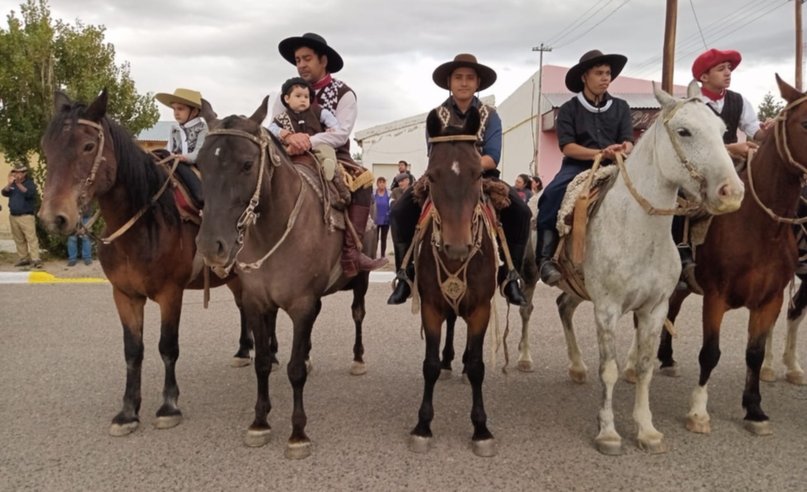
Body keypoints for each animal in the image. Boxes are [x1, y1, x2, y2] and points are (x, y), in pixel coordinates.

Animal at [37, 90, 252, 436]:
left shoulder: (170, 293)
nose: (53, 218)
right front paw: (128, 411)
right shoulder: (125, 295)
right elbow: (133, 351)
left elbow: (167, 346)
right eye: (47, 146)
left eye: (88, 146)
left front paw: (168, 406)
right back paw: (245, 350)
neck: (142, 223)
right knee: (244, 307)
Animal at [196, 97, 372, 462]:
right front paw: (259, 422)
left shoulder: (303, 305)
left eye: (247, 164)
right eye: (200, 163)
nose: (210, 246)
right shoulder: (257, 304)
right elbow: (263, 362)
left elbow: (295, 371)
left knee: (358, 314)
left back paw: (358, 359)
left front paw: (298, 432)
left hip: (360, 280)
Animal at [410, 107, 498, 458]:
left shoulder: (481, 310)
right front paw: (423, 426)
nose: (457, 247)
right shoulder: (431, 307)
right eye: (433, 176)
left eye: (477, 174)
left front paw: (481, 429)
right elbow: (429, 364)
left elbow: (477, 366)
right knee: (450, 323)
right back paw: (450, 362)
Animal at [556, 80, 744, 454]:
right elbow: (609, 369)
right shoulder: (607, 309)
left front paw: (646, 430)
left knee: (564, 306)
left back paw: (577, 367)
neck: (638, 230)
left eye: (722, 131)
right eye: (684, 131)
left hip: (577, 288)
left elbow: (644, 368)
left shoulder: (655, 309)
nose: (732, 193)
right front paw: (608, 432)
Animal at [656, 75, 807, 436]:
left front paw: (754, 409)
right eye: (806, 123)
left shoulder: (770, 300)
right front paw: (698, 412)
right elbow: (710, 353)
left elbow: (754, 353)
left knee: (673, 310)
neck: (761, 229)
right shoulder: (716, 297)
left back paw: (666, 358)